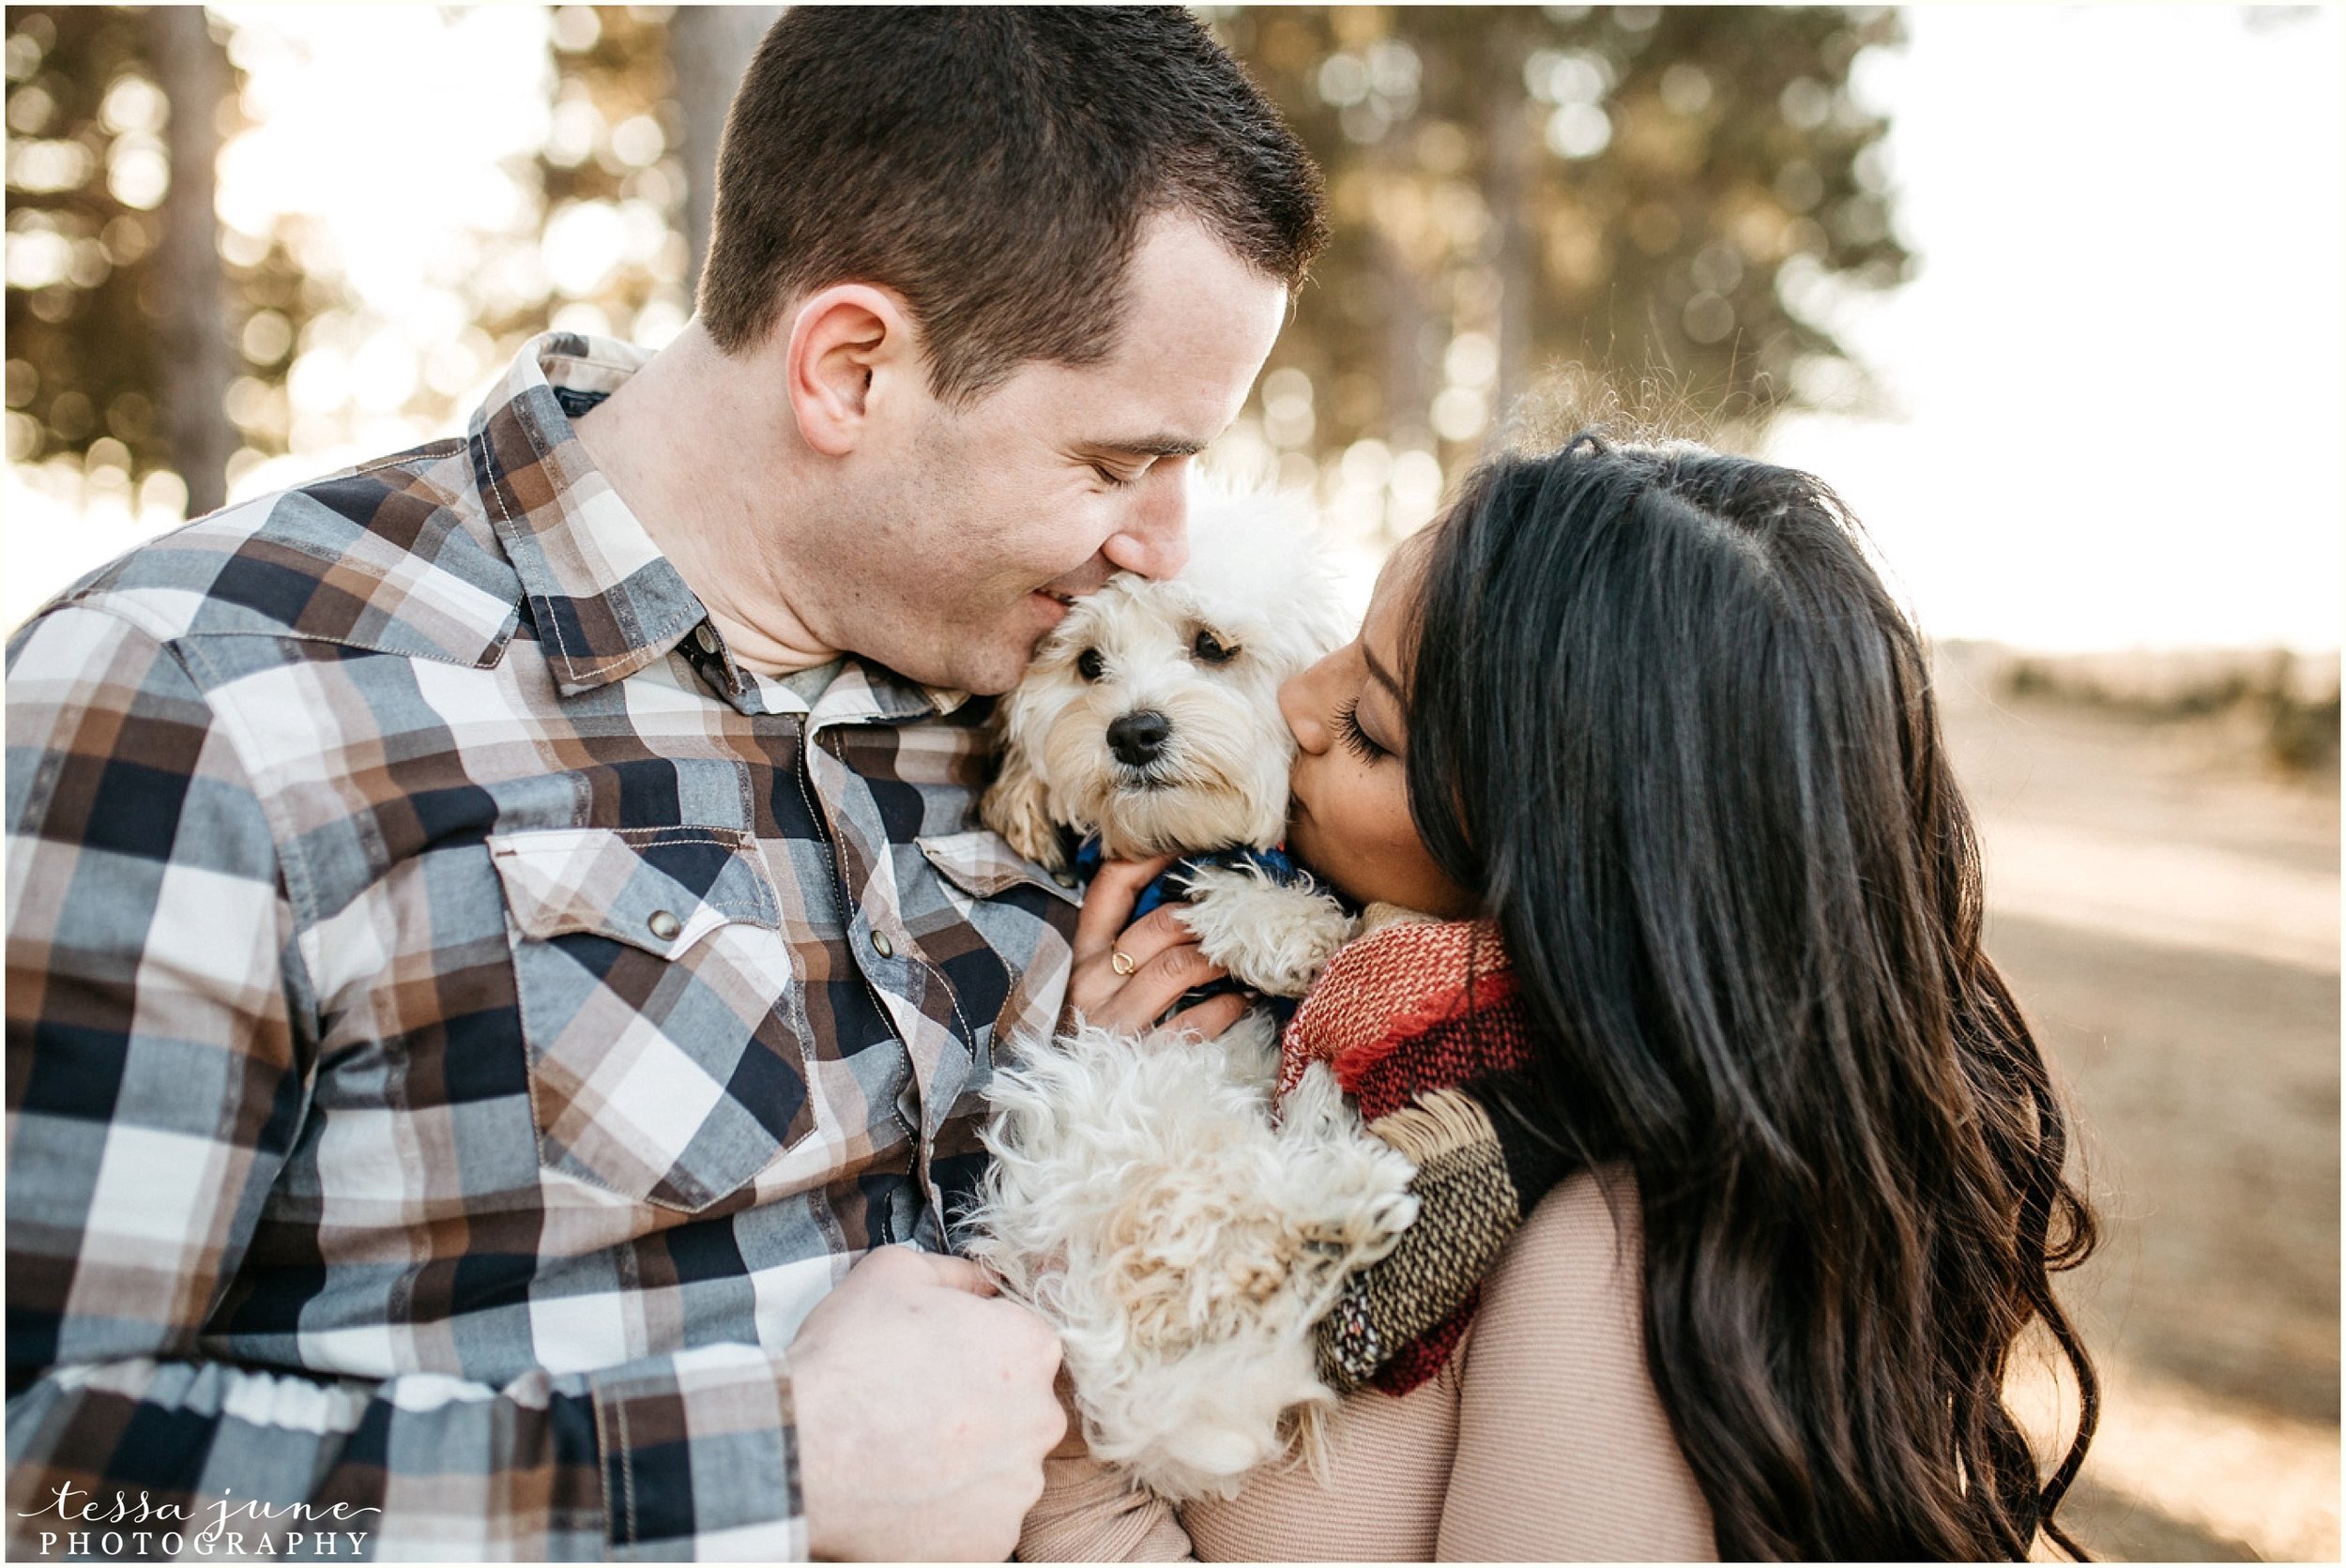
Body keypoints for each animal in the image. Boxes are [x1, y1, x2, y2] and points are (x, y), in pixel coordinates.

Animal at [967, 490, 1417, 1492]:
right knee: (1216, 1225)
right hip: (1117, 1099)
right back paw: (1341, 1192)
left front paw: (1291, 919)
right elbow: (1208, 884)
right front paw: (1286, 927)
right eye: (1088, 664)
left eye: (1212, 645)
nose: (1132, 730)